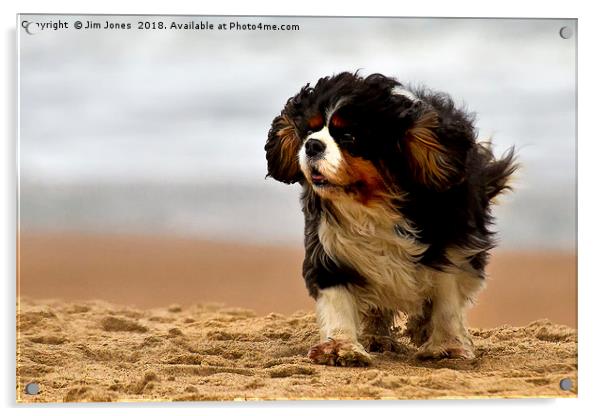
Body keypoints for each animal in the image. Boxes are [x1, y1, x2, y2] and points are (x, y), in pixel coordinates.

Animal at [264, 71, 516, 368]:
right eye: (307, 131)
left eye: (349, 136)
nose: (312, 145)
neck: (373, 205)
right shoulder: (329, 248)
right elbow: (336, 299)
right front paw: (340, 347)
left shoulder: (451, 248)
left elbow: (446, 299)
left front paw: (446, 346)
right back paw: (377, 337)